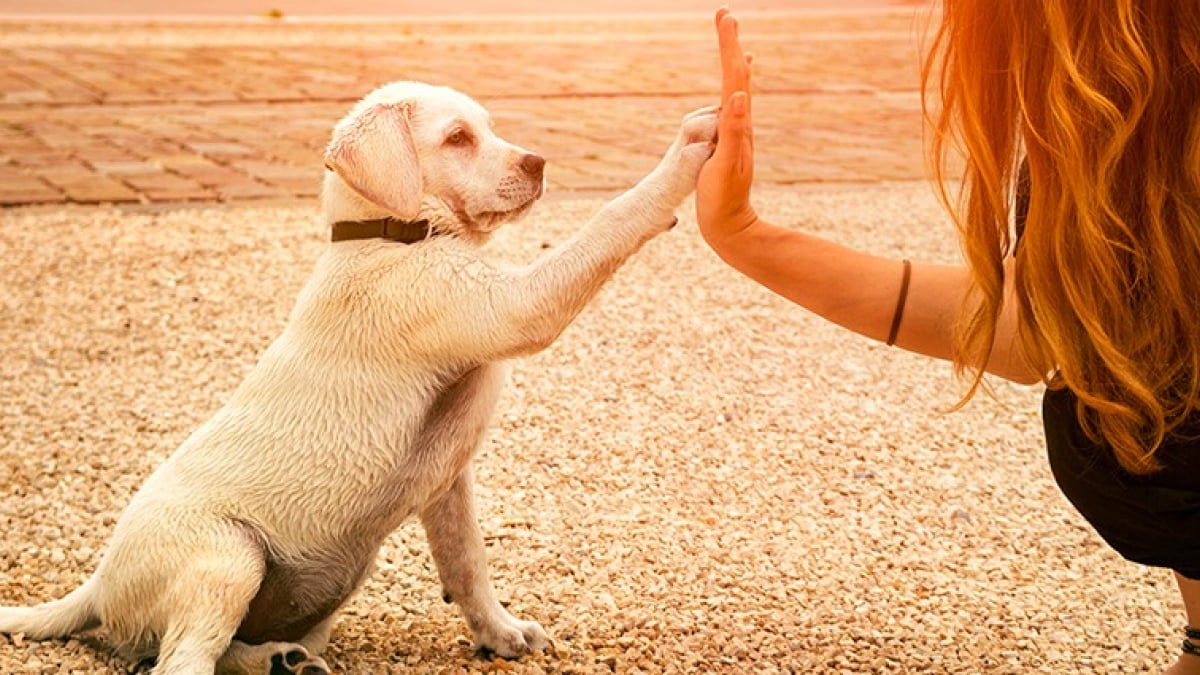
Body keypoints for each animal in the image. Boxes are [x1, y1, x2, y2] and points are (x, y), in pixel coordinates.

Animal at [0, 79, 715, 672]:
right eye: (458, 138)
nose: (537, 163)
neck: (389, 234)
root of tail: (97, 585)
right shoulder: (515, 306)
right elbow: (609, 221)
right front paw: (687, 152)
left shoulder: (449, 480)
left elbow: (467, 562)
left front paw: (500, 632)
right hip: (228, 556)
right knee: (181, 660)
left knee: (228, 650)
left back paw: (284, 661)